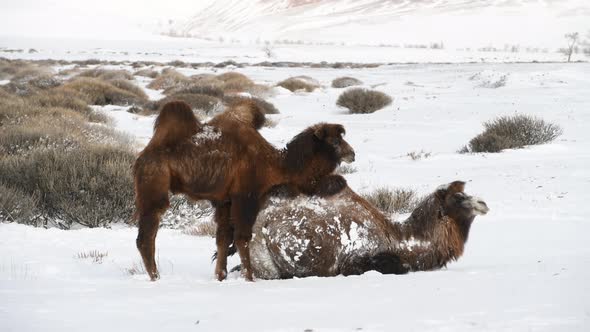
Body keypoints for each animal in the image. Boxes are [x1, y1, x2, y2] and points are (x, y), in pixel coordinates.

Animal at [134, 100, 356, 280]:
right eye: (335, 141)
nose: (352, 153)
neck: (276, 165)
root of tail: (142, 156)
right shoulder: (246, 196)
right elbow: (243, 238)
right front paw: (249, 278)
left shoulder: (225, 201)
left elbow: (223, 239)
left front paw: (221, 276)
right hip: (154, 184)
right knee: (147, 235)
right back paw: (155, 277)